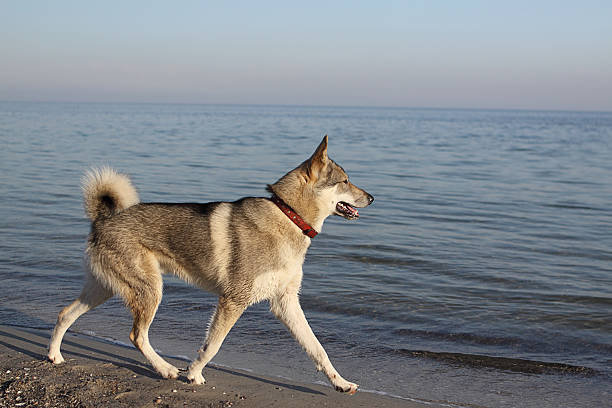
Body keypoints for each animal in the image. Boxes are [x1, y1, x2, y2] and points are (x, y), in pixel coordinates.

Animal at [47, 135, 372, 394]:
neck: (288, 215)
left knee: (65, 314)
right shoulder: (233, 300)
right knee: (136, 336)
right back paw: (165, 368)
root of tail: (103, 219)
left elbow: (318, 349)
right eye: (345, 181)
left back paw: (54, 355)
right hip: (149, 291)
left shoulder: (286, 302)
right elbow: (212, 345)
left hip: (104, 289)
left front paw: (340, 383)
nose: (371, 197)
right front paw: (193, 374)